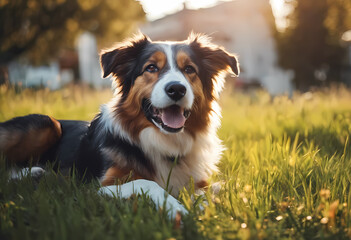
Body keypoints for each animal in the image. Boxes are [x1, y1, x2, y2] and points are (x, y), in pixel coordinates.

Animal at [0, 32, 239, 218]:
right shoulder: (95, 186)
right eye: (151, 68)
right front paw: (177, 209)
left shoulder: (199, 182)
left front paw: (203, 208)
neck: (164, 141)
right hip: (47, 124)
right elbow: (148, 183)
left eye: (189, 69)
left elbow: (209, 193)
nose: (177, 89)